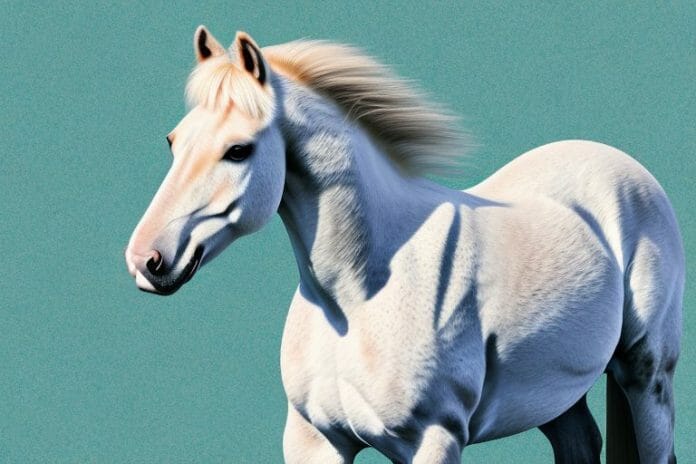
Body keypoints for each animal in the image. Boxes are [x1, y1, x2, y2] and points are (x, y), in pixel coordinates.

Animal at [125, 26, 684, 463]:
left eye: (238, 150)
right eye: (174, 141)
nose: (146, 260)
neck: (357, 300)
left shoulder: (433, 439)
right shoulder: (315, 441)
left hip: (646, 374)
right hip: (552, 393)